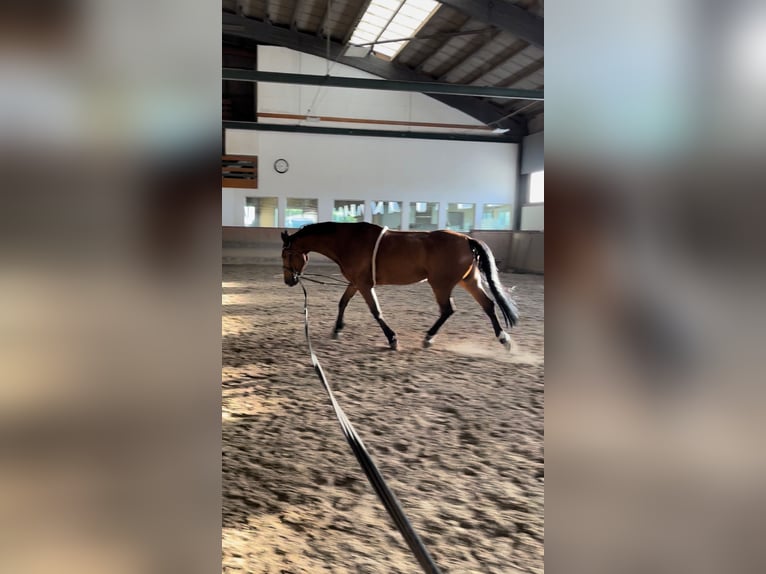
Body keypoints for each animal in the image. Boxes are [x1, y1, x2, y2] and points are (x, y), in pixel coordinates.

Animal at [281, 221, 519, 350]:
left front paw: (392, 339)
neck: (347, 241)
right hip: (468, 281)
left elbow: (376, 312)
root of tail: (467, 239)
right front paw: (337, 329)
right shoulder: (356, 282)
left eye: (286, 254)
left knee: (448, 310)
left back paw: (428, 338)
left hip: (440, 284)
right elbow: (343, 303)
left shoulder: (364, 285)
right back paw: (504, 339)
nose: (288, 281)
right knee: (488, 305)